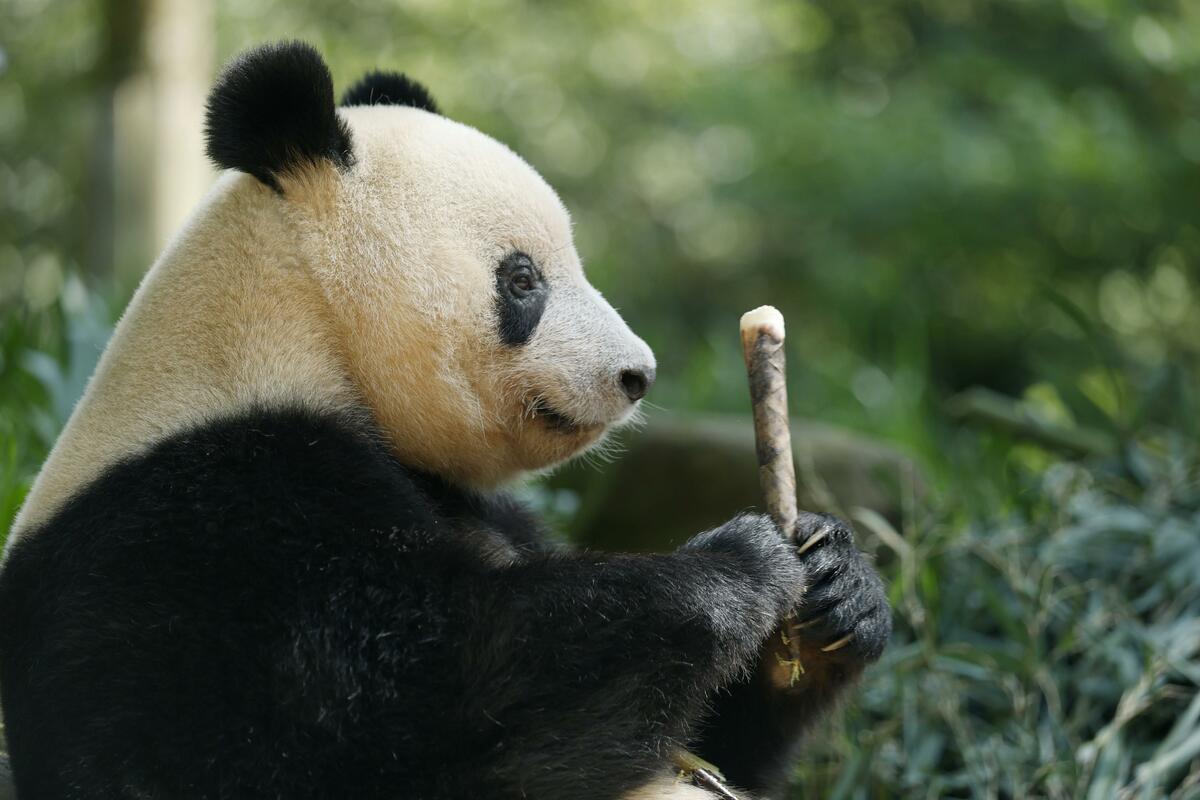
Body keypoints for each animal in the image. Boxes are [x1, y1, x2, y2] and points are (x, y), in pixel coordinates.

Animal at [0, 42, 891, 800]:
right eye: (523, 279)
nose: (636, 374)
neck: (299, 338)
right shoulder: (207, 526)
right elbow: (401, 714)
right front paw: (735, 564)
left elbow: (729, 748)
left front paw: (836, 586)